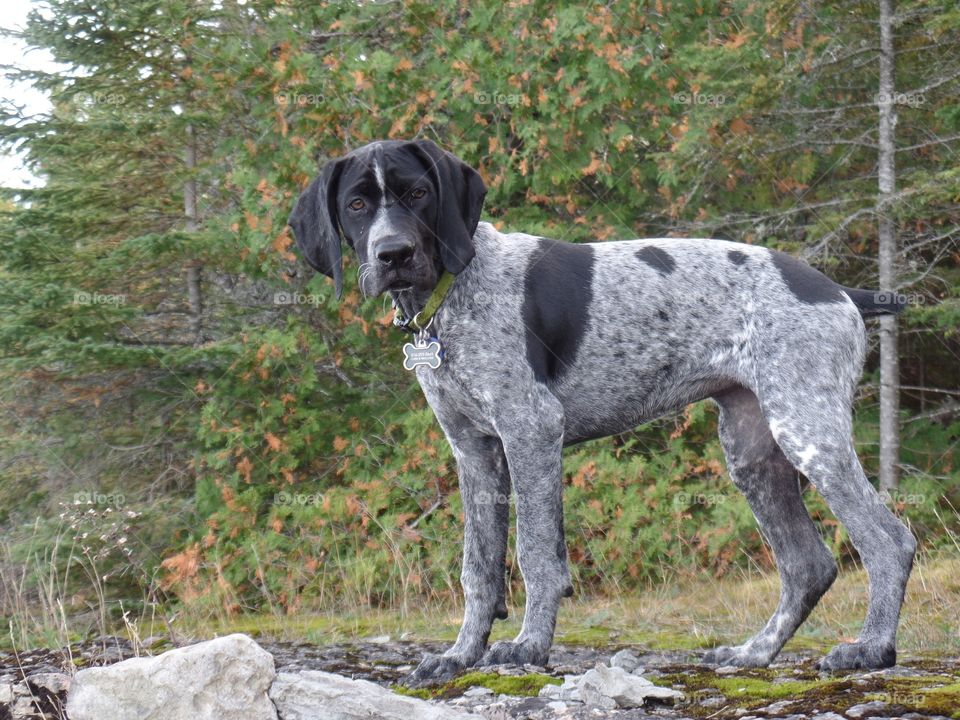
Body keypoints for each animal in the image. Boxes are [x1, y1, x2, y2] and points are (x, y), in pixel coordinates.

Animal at [290, 139, 916, 688]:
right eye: (356, 205)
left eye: (418, 194)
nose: (392, 255)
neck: (452, 294)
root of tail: (840, 292)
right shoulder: (474, 451)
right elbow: (478, 568)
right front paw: (460, 655)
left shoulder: (531, 429)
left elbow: (536, 555)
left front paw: (528, 647)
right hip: (751, 448)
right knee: (809, 565)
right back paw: (753, 652)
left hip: (807, 429)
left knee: (889, 542)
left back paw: (870, 650)